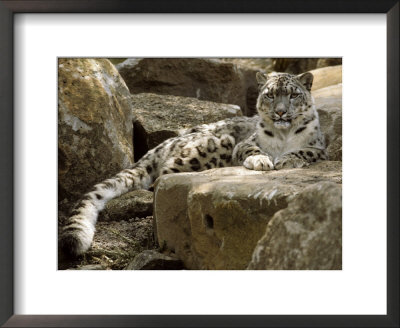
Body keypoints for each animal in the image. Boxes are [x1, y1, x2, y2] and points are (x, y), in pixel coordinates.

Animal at [60, 71, 328, 256]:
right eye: (270, 94)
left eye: (293, 94)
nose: (281, 112)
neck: (283, 136)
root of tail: (161, 145)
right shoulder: (244, 143)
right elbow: (252, 148)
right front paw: (262, 160)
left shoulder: (320, 149)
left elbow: (305, 152)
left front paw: (287, 159)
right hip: (216, 144)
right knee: (161, 178)